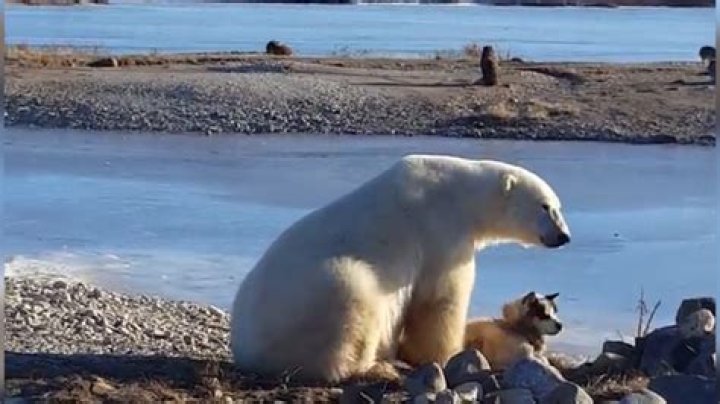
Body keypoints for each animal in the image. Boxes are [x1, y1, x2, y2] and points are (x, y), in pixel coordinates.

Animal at [230, 154, 571, 383]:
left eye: (558, 207)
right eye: (545, 206)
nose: (564, 236)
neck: (460, 193)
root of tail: (245, 349)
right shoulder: (440, 230)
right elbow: (440, 299)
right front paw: (443, 354)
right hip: (312, 298)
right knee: (352, 297)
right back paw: (373, 367)